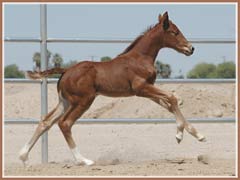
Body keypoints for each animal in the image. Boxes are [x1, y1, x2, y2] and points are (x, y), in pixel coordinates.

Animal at [19, 11, 205, 165]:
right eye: (174, 32)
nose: (191, 48)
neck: (140, 58)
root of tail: (66, 71)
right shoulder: (141, 88)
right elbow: (172, 98)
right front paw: (180, 134)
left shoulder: (145, 91)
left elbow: (170, 104)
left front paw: (197, 134)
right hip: (83, 101)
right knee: (65, 123)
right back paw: (83, 160)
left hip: (65, 102)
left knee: (46, 121)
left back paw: (23, 156)